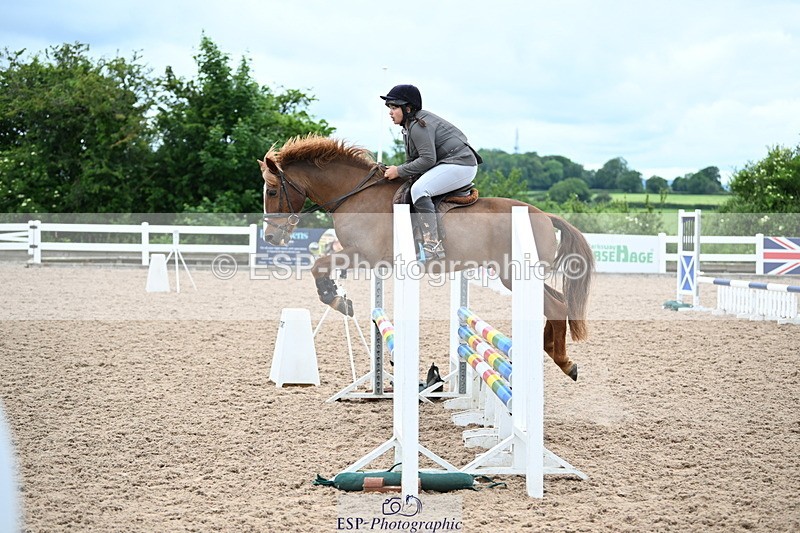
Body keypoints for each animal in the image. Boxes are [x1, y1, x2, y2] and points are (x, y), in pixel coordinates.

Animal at [258, 135, 594, 380]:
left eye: (272, 192)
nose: (271, 238)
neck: (355, 195)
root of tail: (546, 216)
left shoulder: (363, 255)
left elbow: (318, 267)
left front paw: (338, 300)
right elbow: (322, 267)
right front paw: (340, 297)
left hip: (514, 274)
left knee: (555, 305)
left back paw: (563, 361)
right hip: (517, 276)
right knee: (557, 302)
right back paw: (552, 351)